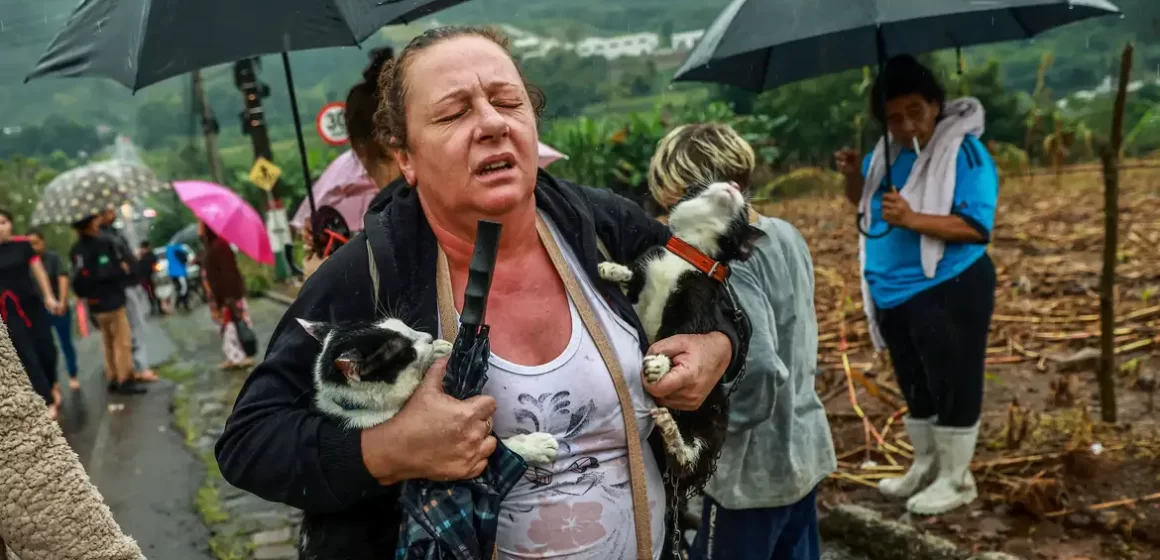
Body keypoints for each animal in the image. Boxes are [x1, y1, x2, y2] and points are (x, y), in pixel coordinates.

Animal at [294, 317, 556, 558]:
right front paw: (536, 445)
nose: (428, 337)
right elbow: (498, 450)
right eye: (404, 351)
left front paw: (439, 349)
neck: (356, 407)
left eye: (404, 326)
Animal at [598, 182, 760, 498]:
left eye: (744, 211)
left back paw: (672, 432)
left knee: (687, 459)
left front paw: (660, 363)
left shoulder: (696, 302)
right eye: (705, 184)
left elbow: (679, 335)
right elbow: (631, 281)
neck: (690, 252)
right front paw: (614, 270)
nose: (734, 185)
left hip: (713, 418)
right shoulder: (646, 271)